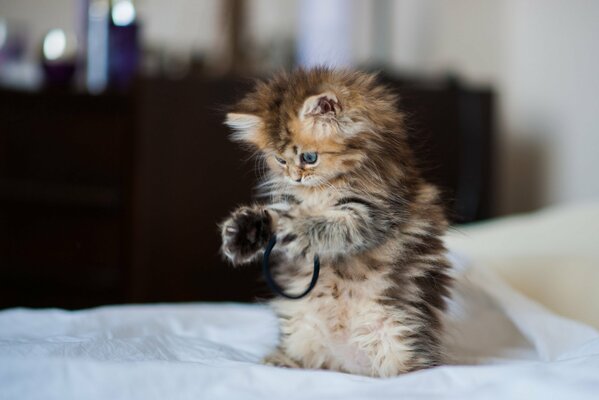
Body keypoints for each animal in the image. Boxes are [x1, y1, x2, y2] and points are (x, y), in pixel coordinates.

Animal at [219, 67, 450, 376]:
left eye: (309, 157)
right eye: (280, 160)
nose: (295, 177)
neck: (320, 191)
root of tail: (346, 362)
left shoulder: (372, 212)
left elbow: (326, 225)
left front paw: (295, 228)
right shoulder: (290, 203)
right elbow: (275, 217)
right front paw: (242, 234)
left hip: (399, 336)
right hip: (300, 327)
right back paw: (279, 361)